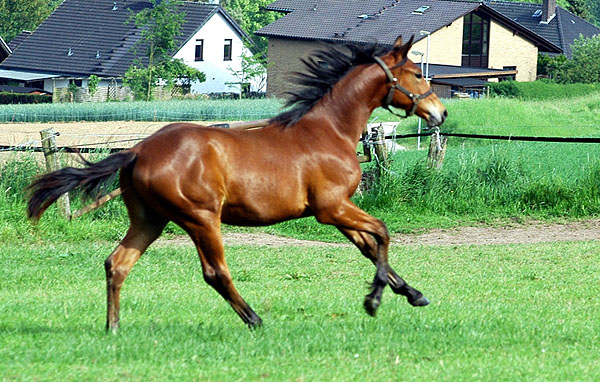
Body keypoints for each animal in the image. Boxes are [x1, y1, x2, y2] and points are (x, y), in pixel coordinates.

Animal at [28, 37, 446, 332]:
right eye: (418, 73)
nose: (440, 113)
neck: (329, 131)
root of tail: (138, 151)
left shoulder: (338, 209)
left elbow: (369, 246)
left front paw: (412, 293)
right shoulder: (332, 208)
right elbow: (383, 232)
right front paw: (374, 300)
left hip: (149, 220)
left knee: (117, 263)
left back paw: (113, 327)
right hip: (200, 218)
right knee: (215, 272)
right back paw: (254, 319)